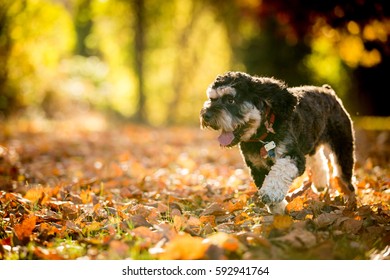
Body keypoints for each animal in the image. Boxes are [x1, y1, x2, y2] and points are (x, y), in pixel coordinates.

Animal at [200, 71, 354, 214]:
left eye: (230, 100)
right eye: (212, 99)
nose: (206, 115)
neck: (263, 135)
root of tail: (328, 91)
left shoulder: (293, 156)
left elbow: (280, 170)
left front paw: (271, 192)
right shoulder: (257, 167)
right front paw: (278, 210)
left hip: (343, 147)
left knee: (345, 176)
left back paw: (350, 201)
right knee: (318, 159)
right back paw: (320, 182)